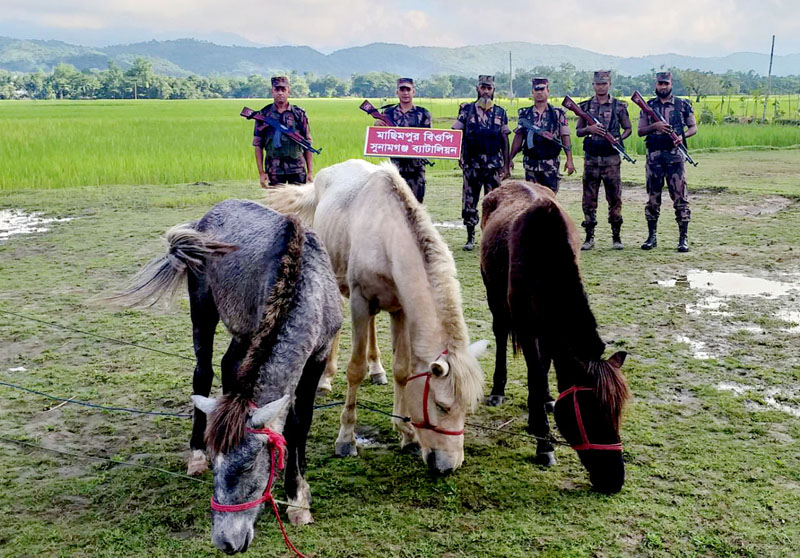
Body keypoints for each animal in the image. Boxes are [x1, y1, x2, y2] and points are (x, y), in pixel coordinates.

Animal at [110, 199, 340, 552]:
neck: (305, 285)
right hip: (204, 311)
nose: (226, 541)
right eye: (218, 462)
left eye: (247, 466)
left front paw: (298, 493)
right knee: (203, 372)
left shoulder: (318, 356)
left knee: (227, 365)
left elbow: (299, 422)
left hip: (240, 333)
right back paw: (194, 455)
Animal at [268, 160, 488, 474]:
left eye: (467, 408)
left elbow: (403, 370)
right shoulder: (360, 302)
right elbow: (355, 370)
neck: (388, 236)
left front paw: (406, 432)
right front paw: (346, 439)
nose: (449, 466)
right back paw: (325, 380)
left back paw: (377, 369)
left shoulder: (400, 310)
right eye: (442, 406)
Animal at [482, 180, 632, 494]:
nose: (614, 479)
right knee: (500, 334)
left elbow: (544, 369)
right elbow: (536, 375)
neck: (545, 258)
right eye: (590, 414)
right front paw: (544, 444)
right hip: (494, 294)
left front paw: (544, 406)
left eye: (617, 413)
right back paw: (498, 390)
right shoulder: (527, 328)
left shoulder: (547, 330)